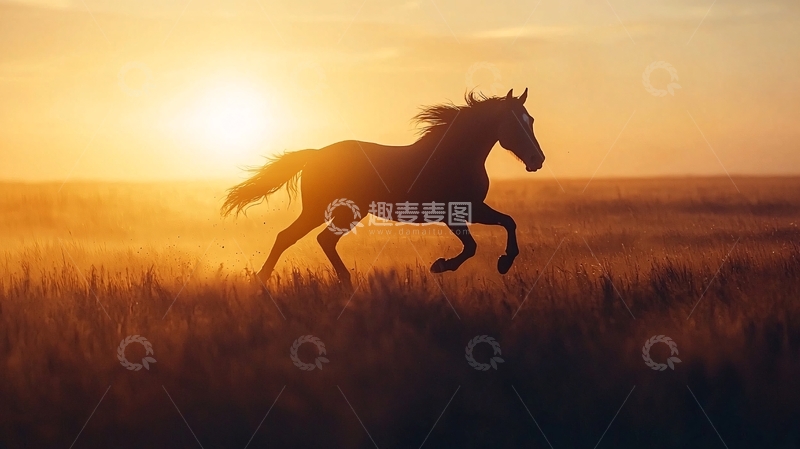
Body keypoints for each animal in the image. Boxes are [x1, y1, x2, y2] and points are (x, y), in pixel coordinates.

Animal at [222, 88, 545, 287]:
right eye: (515, 123)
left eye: (530, 120)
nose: (537, 160)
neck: (455, 156)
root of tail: (314, 155)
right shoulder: (453, 214)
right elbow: (472, 247)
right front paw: (440, 266)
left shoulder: (475, 208)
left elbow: (509, 222)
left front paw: (504, 263)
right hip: (327, 211)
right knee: (293, 237)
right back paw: (265, 280)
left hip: (344, 213)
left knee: (318, 240)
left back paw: (343, 282)